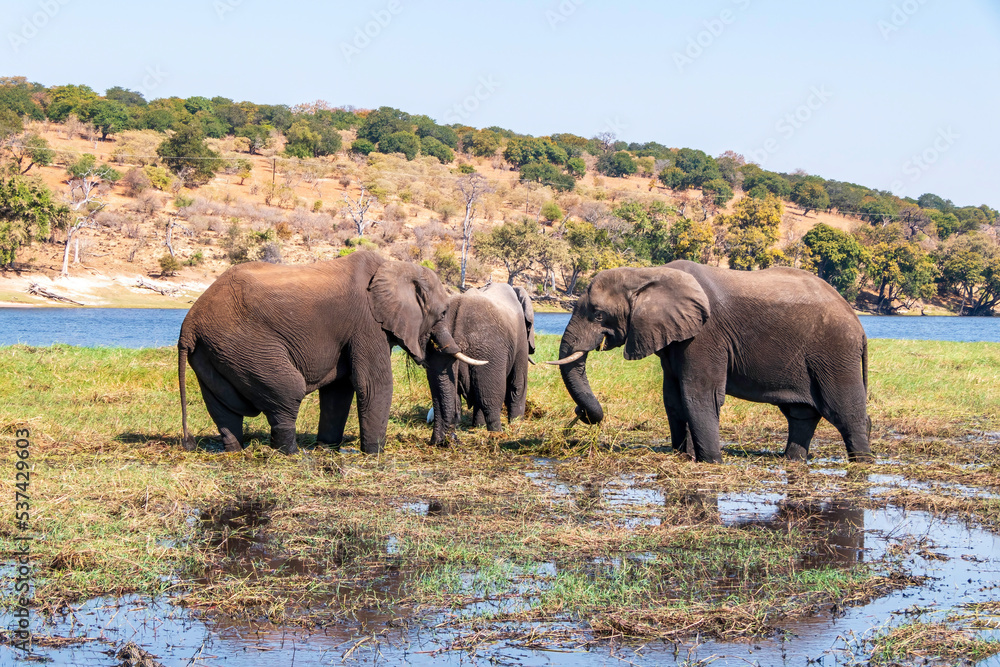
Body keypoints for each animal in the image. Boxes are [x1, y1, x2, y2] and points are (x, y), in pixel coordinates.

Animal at [178, 250, 485, 455]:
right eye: (442, 313)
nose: (445, 442)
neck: (395, 265)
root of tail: (188, 324)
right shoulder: (366, 323)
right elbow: (373, 384)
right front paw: (374, 454)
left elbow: (339, 389)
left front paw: (327, 447)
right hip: (244, 345)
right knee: (288, 392)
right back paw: (292, 454)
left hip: (212, 352)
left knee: (224, 409)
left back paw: (236, 451)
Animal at [425, 283, 536, 446]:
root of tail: (459, 307)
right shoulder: (520, 338)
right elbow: (518, 385)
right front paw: (516, 426)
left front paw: (478, 426)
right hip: (489, 352)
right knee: (490, 399)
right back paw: (497, 434)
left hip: (439, 351)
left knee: (444, 398)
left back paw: (442, 440)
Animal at [549, 261, 873, 463]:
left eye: (598, 315)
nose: (581, 414)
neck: (646, 274)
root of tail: (859, 325)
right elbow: (673, 397)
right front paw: (684, 457)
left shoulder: (706, 334)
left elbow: (699, 395)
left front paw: (711, 462)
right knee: (801, 414)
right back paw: (792, 461)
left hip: (834, 353)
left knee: (845, 412)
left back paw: (862, 463)